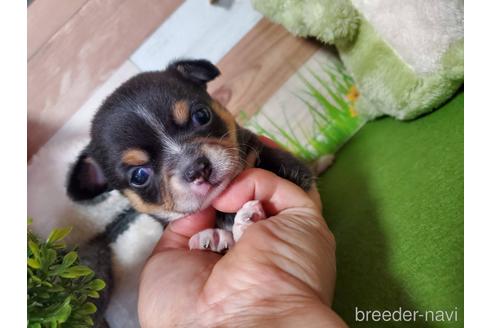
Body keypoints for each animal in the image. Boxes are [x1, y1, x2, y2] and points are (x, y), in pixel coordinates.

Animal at [66, 59, 316, 252]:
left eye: (202, 115)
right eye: (139, 176)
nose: (197, 169)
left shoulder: (289, 169)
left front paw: (244, 222)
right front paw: (217, 235)